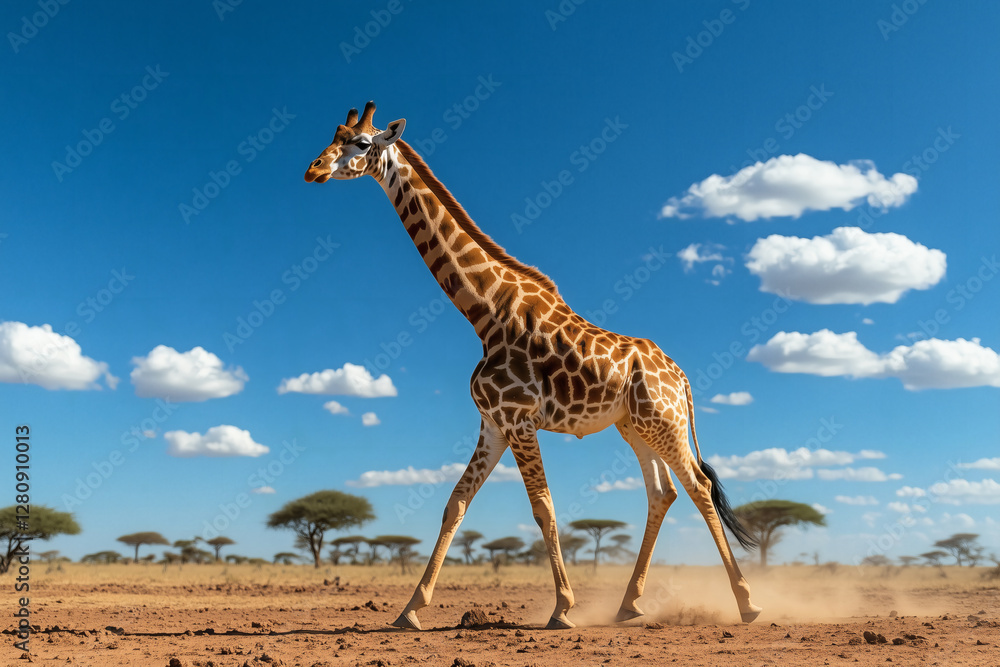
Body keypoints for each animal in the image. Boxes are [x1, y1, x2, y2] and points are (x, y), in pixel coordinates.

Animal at [304, 102, 762, 630]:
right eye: (333, 135)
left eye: (361, 143)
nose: (312, 170)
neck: (484, 311)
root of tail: (681, 376)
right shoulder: (493, 423)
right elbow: (455, 504)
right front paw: (410, 610)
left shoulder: (520, 420)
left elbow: (542, 507)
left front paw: (562, 609)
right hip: (634, 426)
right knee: (662, 493)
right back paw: (629, 604)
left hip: (663, 423)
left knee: (699, 486)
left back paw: (747, 603)